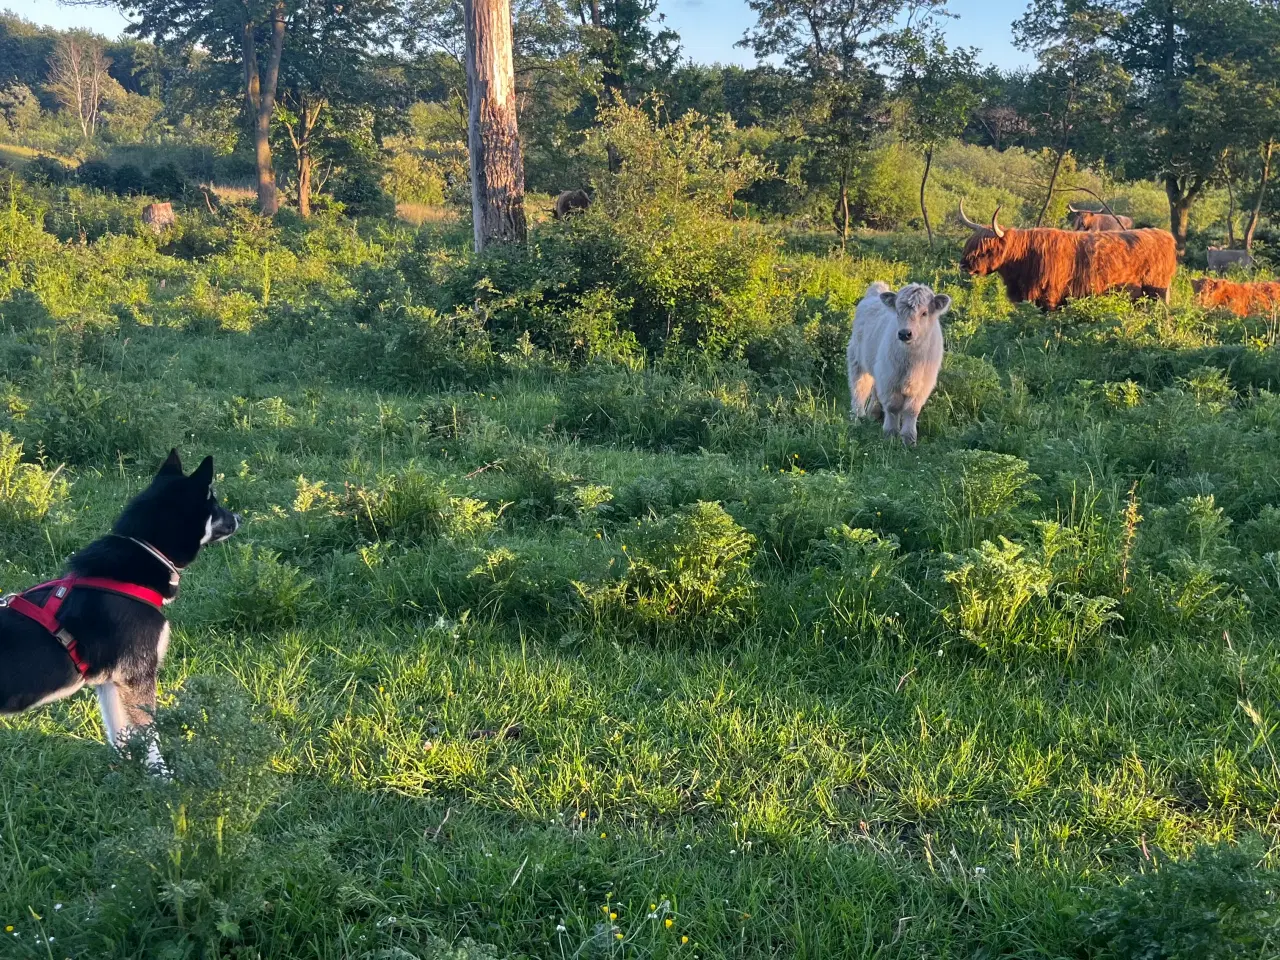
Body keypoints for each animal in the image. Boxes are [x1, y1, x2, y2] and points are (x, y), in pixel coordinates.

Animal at [1, 453, 240, 773]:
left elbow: (120, 736)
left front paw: (125, 775)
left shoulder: (110, 683)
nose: (238, 518)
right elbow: (150, 737)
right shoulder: (138, 676)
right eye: (213, 503)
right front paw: (161, 777)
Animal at [849, 276, 952, 445]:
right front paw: (890, 434)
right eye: (897, 312)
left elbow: (912, 410)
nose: (904, 333)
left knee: (874, 390)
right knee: (859, 388)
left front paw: (909, 439)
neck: (911, 361)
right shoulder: (889, 380)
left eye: (924, 313)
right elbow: (892, 407)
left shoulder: (923, 385)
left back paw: (873, 413)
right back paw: (857, 417)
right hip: (856, 360)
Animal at [957, 200, 1172, 309]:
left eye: (986, 249)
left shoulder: (1049, 299)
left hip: (1155, 294)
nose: (964, 265)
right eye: (969, 245)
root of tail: (1164, 234)